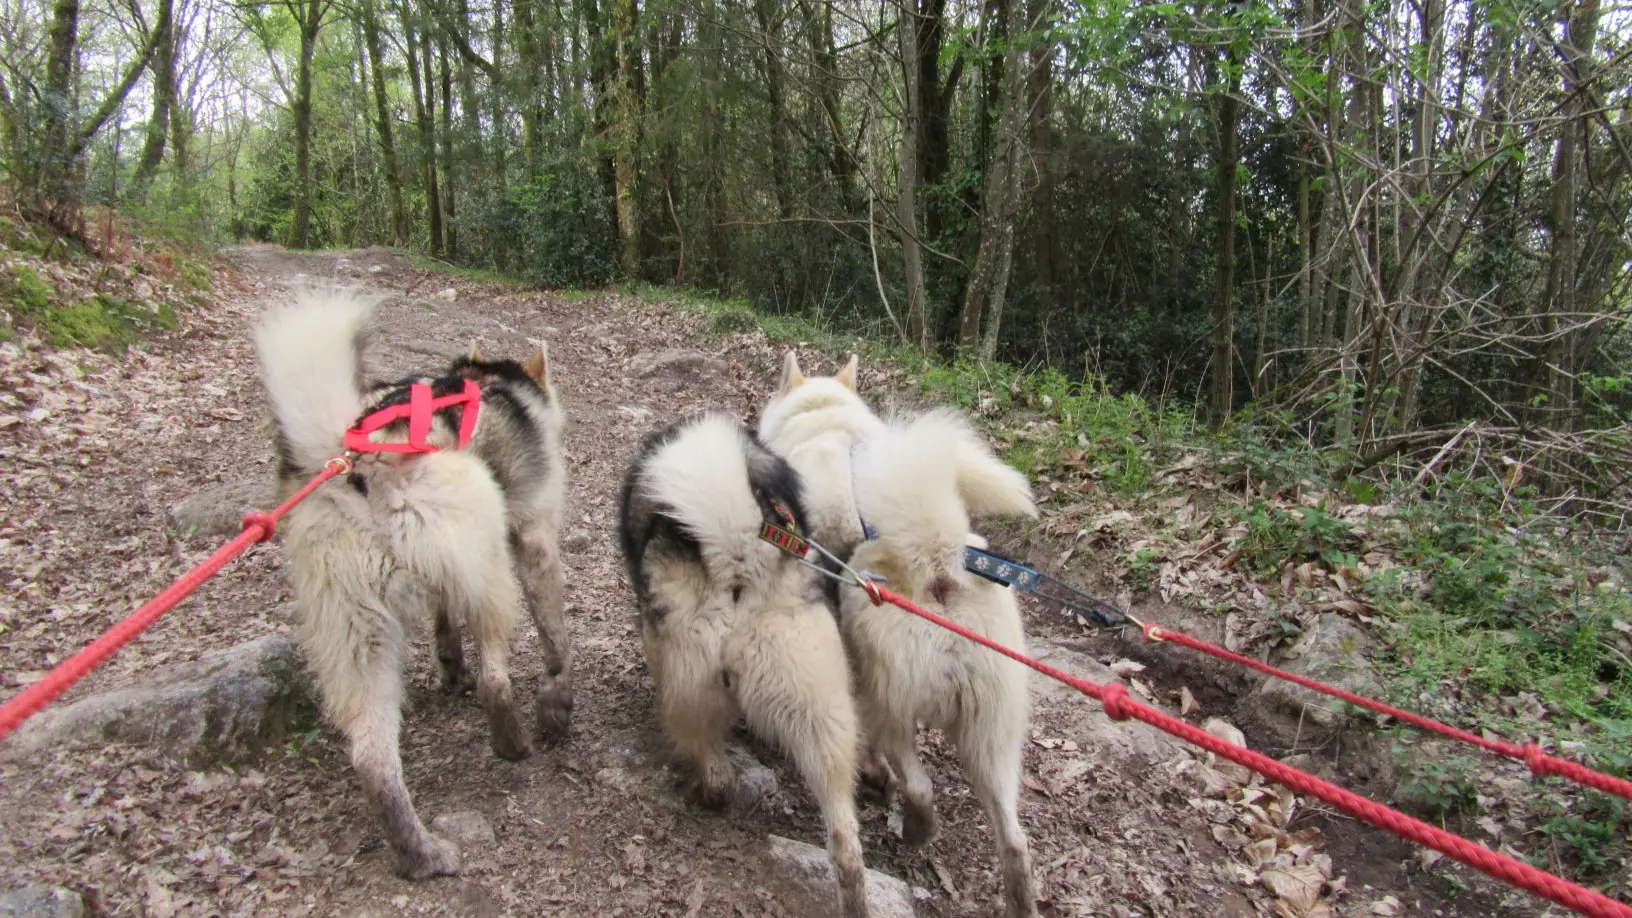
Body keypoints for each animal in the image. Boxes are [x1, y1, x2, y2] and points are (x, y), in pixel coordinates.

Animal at [254, 289, 574, 875]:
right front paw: (555, 705)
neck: (487, 381)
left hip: (362, 632)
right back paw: (512, 742)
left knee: (373, 758)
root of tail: (362, 461)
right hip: (491, 570)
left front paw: (450, 666)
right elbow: (556, 641)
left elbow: (444, 620)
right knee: (495, 682)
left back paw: (421, 854)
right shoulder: (534, 539)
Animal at [842, 406, 1044, 914]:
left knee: (919, 786)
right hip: (992, 730)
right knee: (1015, 839)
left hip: (893, 707)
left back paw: (917, 831)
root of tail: (937, 572)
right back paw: (1020, 903)